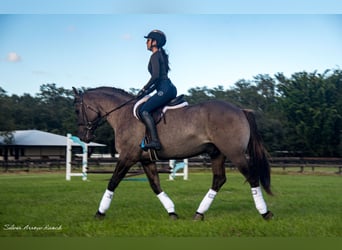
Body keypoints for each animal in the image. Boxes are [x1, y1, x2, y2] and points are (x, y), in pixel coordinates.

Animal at [73, 87, 274, 220]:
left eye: (76, 110)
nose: (83, 136)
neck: (123, 115)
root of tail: (239, 110)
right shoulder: (146, 160)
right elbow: (155, 185)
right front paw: (172, 212)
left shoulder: (127, 157)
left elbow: (113, 182)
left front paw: (99, 213)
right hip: (217, 154)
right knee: (219, 180)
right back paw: (199, 213)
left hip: (235, 154)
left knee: (252, 177)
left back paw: (265, 213)